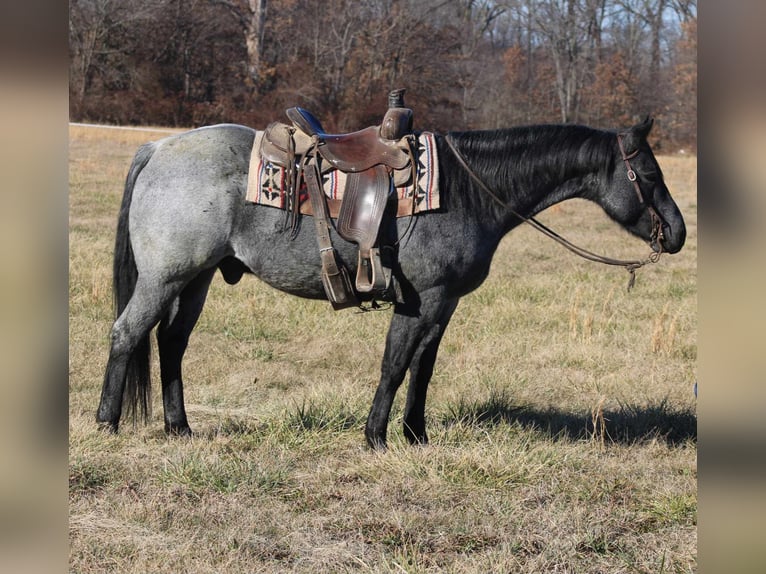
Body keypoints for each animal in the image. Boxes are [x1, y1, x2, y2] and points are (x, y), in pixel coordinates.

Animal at [97, 116, 688, 450]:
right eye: (649, 175)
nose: (678, 233)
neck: (466, 189)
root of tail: (158, 149)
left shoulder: (443, 304)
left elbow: (423, 368)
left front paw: (416, 435)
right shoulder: (420, 300)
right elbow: (396, 364)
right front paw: (377, 437)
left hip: (194, 280)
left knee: (172, 344)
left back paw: (180, 428)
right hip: (164, 278)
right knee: (127, 334)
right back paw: (107, 423)